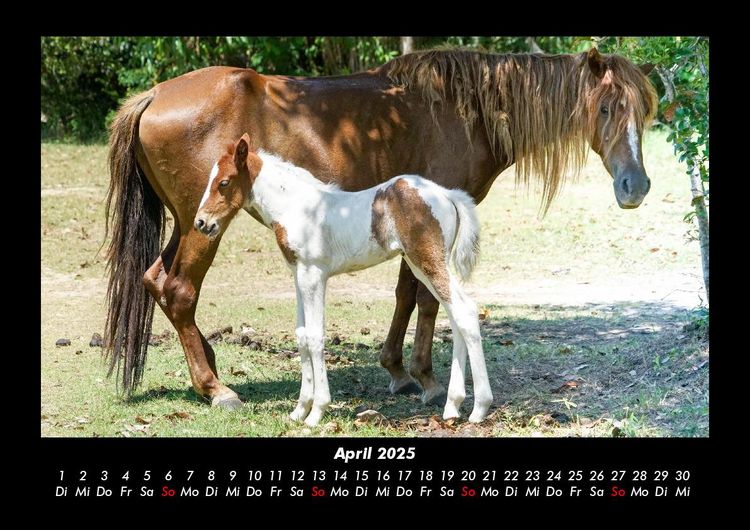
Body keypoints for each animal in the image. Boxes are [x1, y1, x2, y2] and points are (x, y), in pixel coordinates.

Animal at [195, 133, 490, 425]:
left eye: (224, 182)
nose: (201, 223)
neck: (295, 207)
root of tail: (447, 194)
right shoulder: (298, 275)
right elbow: (301, 335)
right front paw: (299, 411)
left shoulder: (314, 275)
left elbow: (315, 336)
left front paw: (316, 412)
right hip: (421, 266)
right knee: (456, 314)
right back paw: (453, 405)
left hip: (428, 262)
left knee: (465, 310)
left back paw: (479, 408)